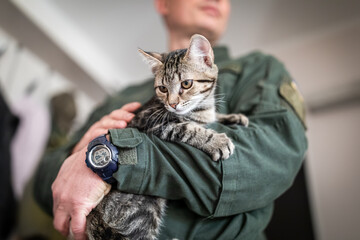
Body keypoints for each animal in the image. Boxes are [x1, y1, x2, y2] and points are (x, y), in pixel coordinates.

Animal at [85, 34, 248, 240]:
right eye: (162, 88)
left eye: (186, 84)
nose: (172, 104)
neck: (201, 108)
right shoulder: (152, 122)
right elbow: (190, 128)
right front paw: (217, 141)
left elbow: (211, 118)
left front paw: (233, 117)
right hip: (142, 211)